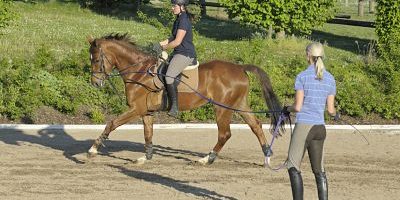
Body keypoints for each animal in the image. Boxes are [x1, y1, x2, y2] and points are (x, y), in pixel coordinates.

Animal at [86, 33, 282, 165]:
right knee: (256, 125)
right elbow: (148, 133)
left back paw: (207, 159)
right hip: (239, 104)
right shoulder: (146, 111)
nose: (95, 83)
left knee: (225, 134)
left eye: (96, 60)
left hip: (222, 108)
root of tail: (240, 68)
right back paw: (267, 156)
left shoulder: (136, 109)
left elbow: (112, 123)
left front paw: (93, 149)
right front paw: (146, 157)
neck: (139, 71)